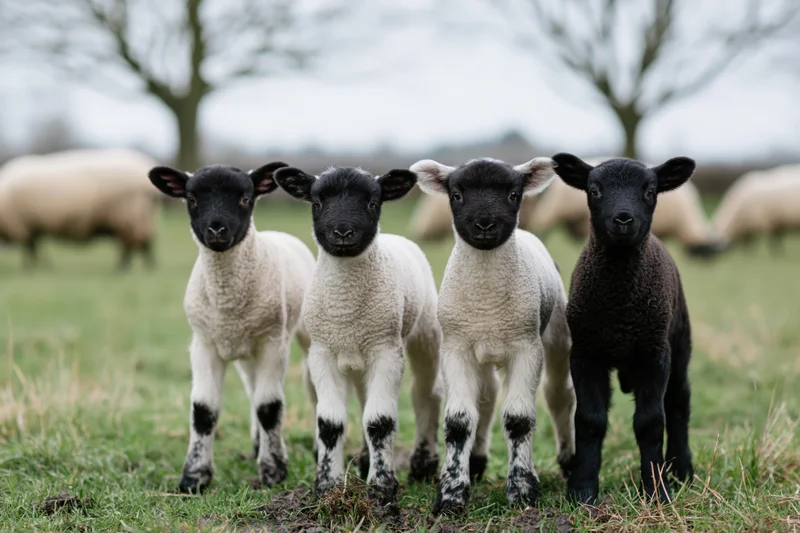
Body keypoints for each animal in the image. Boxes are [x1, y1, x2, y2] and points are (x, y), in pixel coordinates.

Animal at [0, 148, 161, 269]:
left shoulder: (21, 226)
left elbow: (30, 249)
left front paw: (31, 268)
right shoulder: (29, 227)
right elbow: (33, 248)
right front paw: (38, 266)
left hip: (128, 214)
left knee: (134, 243)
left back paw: (124, 268)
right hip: (138, 215)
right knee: (142, 241)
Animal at [147, 162, 316, 493]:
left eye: (245, 198)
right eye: (191, 199)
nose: (216, 230)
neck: (228, 303)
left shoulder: (272, 343)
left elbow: (269, 406)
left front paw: (273, 470)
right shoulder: (204, 343)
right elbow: (204, 409)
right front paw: (194, 477)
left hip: (302, 335)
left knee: (310, 389)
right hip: (246, 353)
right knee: (252, 389)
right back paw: (256, 444)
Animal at [273, 165, 443, 505]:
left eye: (372, 203)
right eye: (317, 203)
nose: (342, 232)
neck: (346, 310)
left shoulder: (387, 352)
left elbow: (379, 422)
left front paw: (381, 489)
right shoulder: (322, 354)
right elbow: (330, 423)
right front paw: (327, 486)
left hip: (424, 334)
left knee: (426, 395)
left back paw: (423, 466)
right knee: (367, 400)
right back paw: (366, 460)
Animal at [411, 156, 576, 514]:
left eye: (514, 194)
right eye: (456, 195)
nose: (485, 224)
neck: (487, 303)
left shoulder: (526, 348)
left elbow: (519, 419)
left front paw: (523, 491)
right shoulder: (456, 348)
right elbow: (459, 421)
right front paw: (451, 495)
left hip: (557, 335)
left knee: (560, 396)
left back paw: (570, 460)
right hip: (482, 352)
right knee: (485, 399)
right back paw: (476, 462)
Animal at [550, 153, 696, 505]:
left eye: (651, 191)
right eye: (593, 190)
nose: (624, 219)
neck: (619, 306)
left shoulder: (654, 355)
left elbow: (650, 423)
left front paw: (657, 492)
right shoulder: (585, 354)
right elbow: (589, 420)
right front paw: (582, 490)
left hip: (679, 344)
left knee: (679, 401)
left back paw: (681, 469)